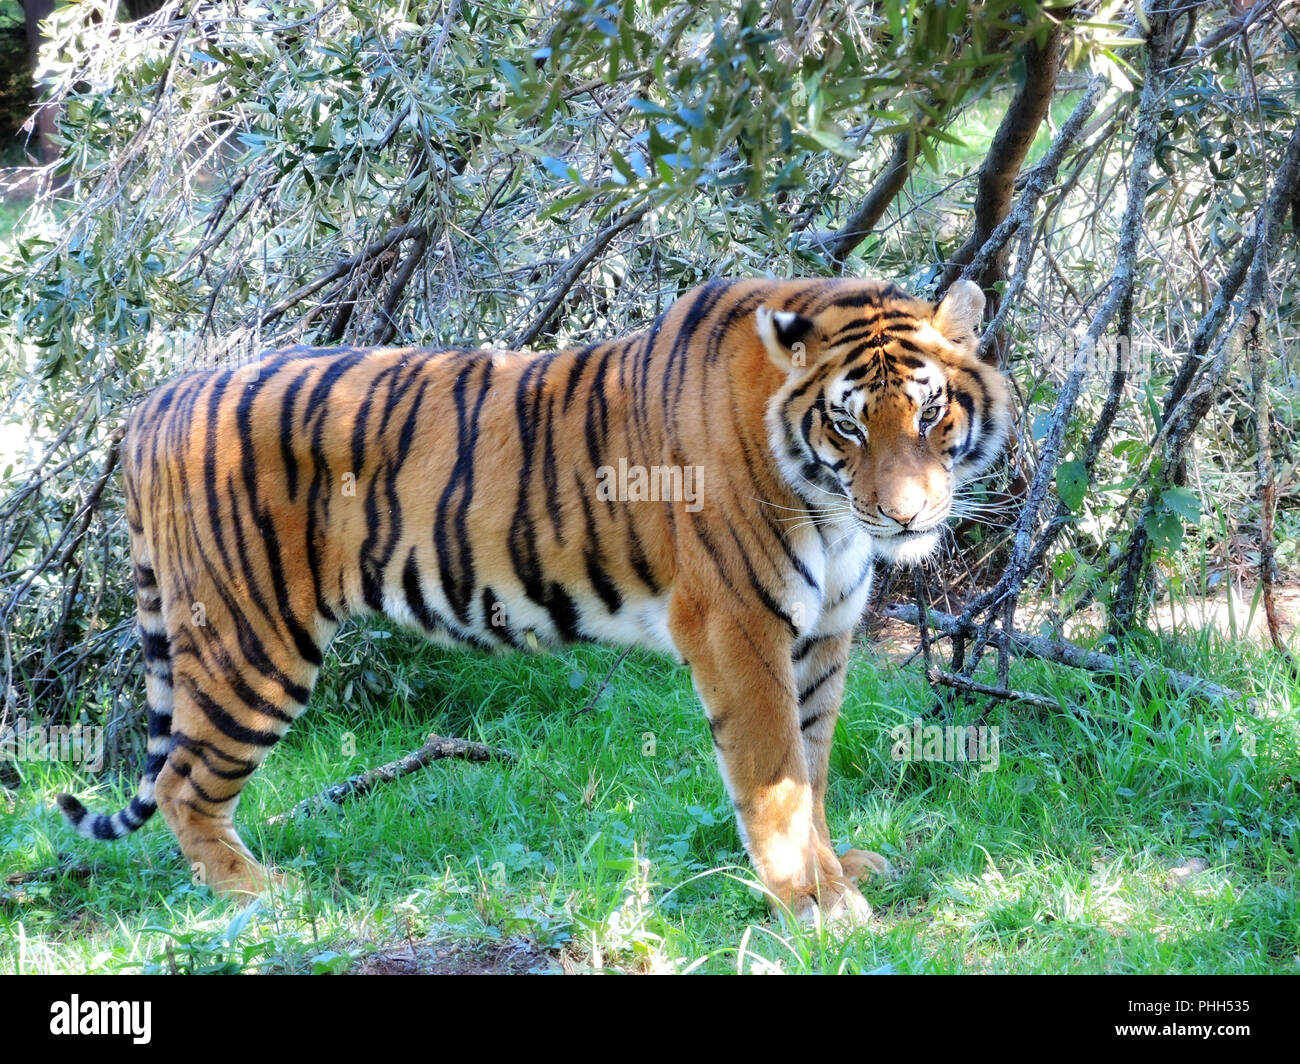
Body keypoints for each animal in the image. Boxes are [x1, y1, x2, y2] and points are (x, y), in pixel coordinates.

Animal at [58, 273, 1013, 920]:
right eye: (848, 425)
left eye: (931, 415)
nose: (907, 513)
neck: (827, 504)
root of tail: (155, 400)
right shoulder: (738, 626)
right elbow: (773, 777)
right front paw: (811, 903)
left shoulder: (823, 634)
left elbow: (810, 771)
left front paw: (836, 872)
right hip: (252, 641)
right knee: (182, 781)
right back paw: (258, 890)